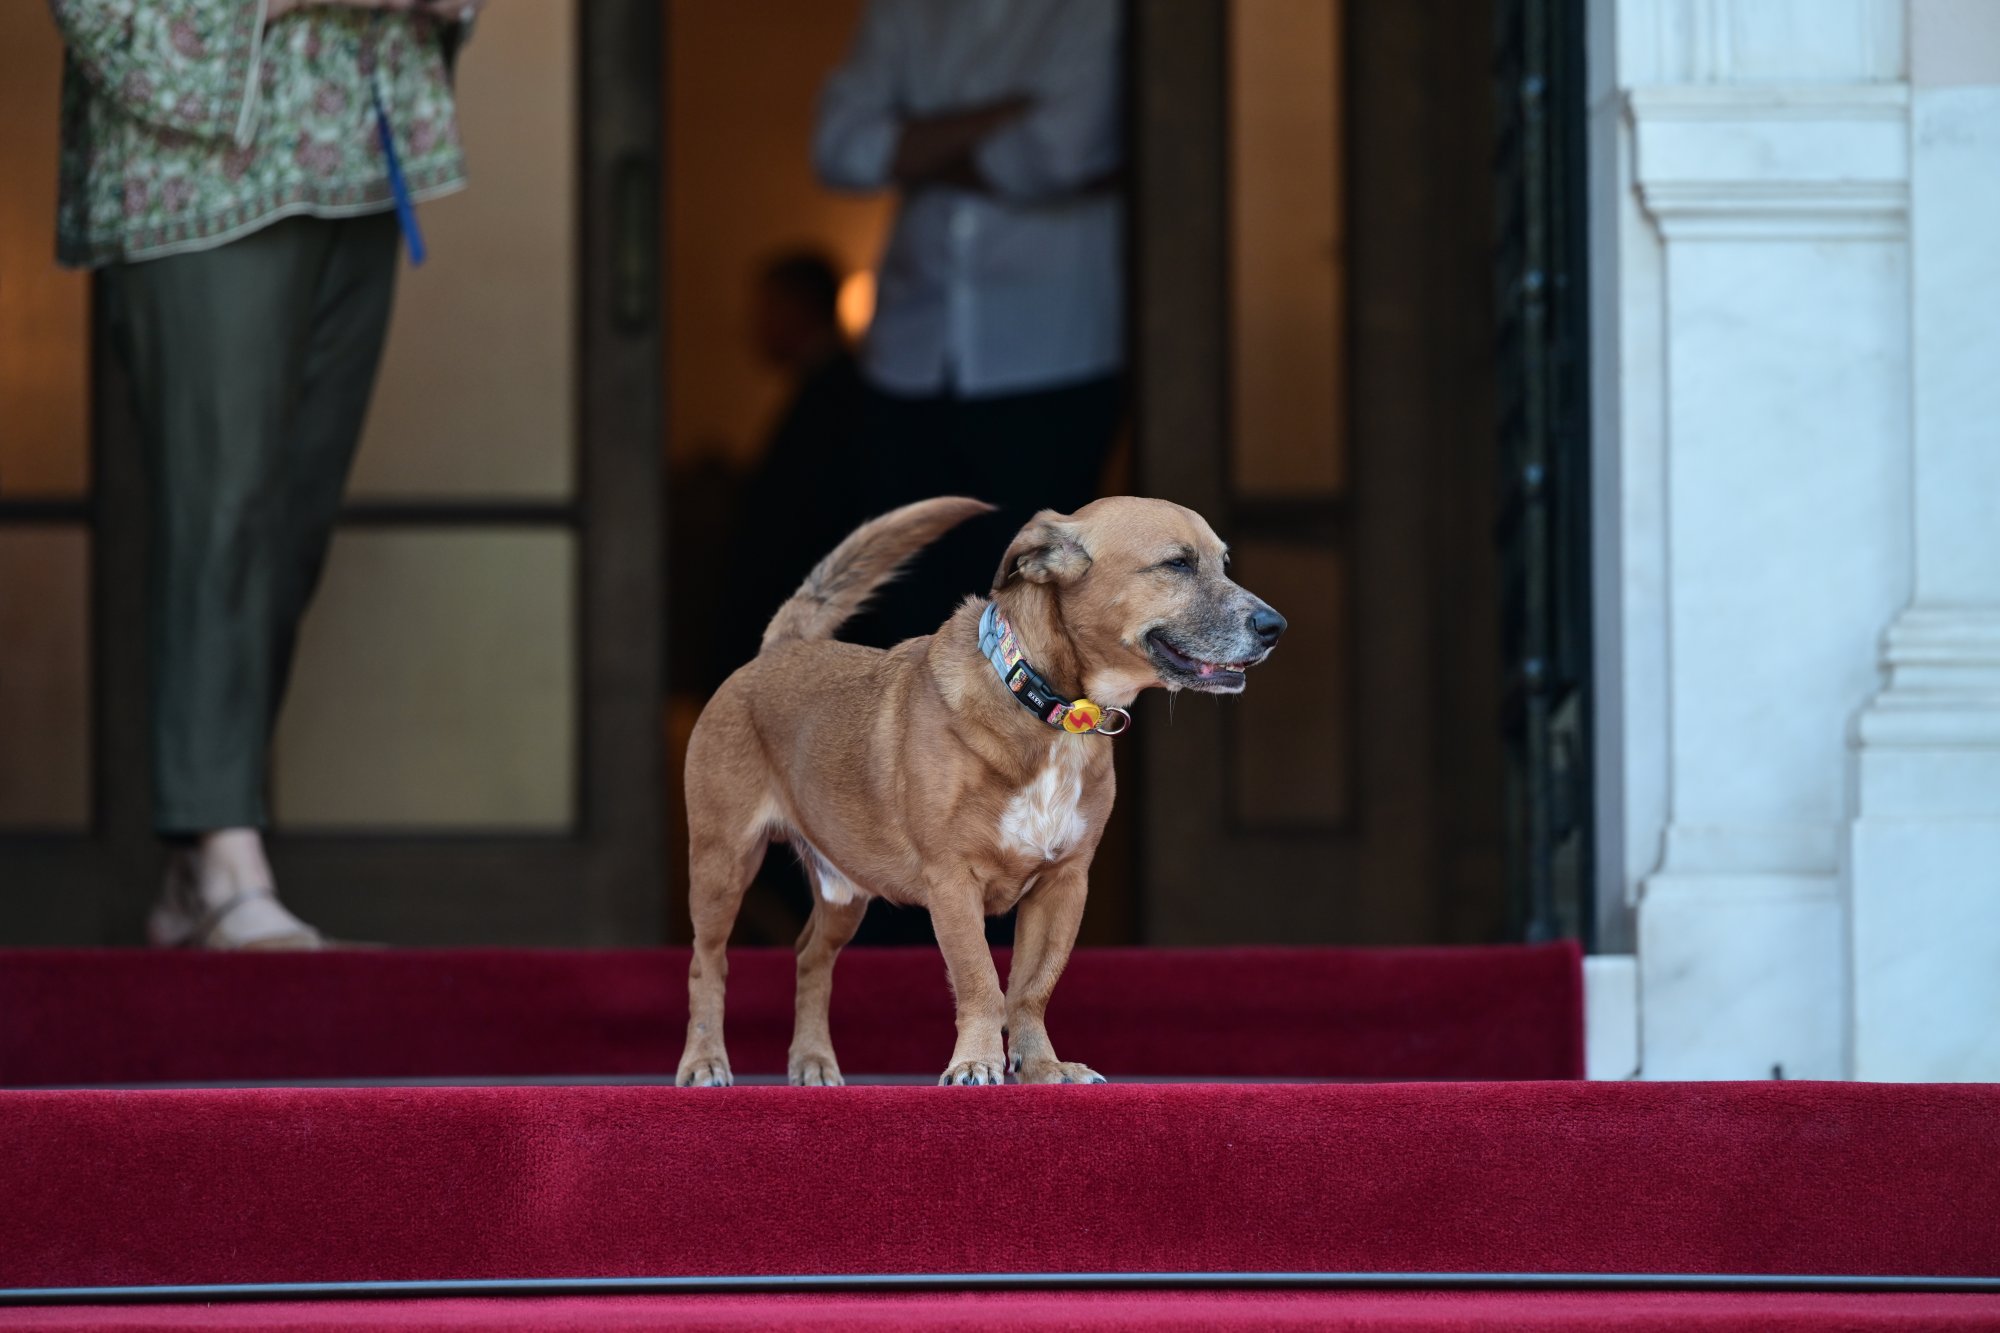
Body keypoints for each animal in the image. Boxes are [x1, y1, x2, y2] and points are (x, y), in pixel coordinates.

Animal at [680, 492, 1288, 1088]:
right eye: (1176, 564)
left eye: (1224, 563)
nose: (1275, 625)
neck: (1050, 711)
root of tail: (780, 649)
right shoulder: (953, 881)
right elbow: (980, 981)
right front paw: (975, 1063)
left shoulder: (1064, 884)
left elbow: (1031, 988)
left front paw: (1042, 1068)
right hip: (723, 865)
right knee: (707, 963)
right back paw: (705, 1062)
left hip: (843, 888)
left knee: (811, 958)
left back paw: (813, 1062)